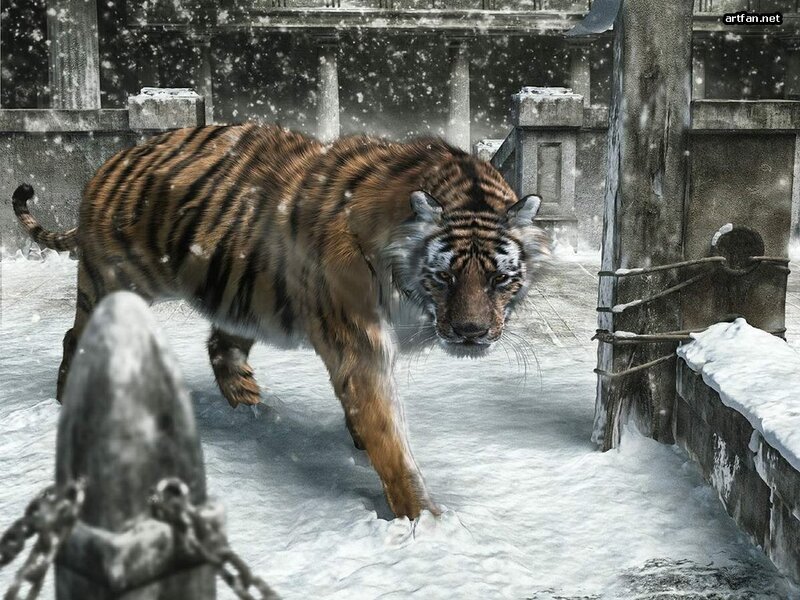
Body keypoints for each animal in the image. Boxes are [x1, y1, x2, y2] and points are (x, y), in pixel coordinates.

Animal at [12, 123, 547, 519]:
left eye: (499, 279)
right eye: (445, 276)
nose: (471, 333)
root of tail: (110, 160)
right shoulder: (360, 344)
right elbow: (388, 435)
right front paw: (424, 520)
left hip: (241, 295)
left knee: (220, 347)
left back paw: (251, 410)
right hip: (116, 281)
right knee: (75, 335)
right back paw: (69, 398)